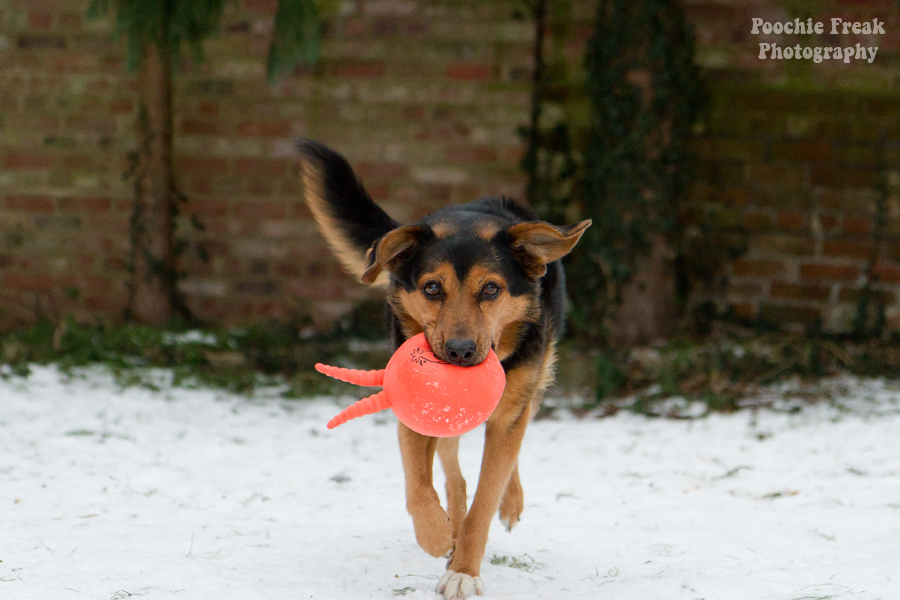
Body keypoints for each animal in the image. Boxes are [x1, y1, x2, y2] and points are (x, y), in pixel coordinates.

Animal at [298, 141, 592, 600]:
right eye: (432, 288)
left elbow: (487, 495)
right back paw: (451, 522)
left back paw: (508, 503)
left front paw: (464, 571)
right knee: (453, 473)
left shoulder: (512, 409)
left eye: (491, 289)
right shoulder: (412, 409)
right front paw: (437, 534)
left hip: (534, 381)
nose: (459, 352)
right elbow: (418, 485)